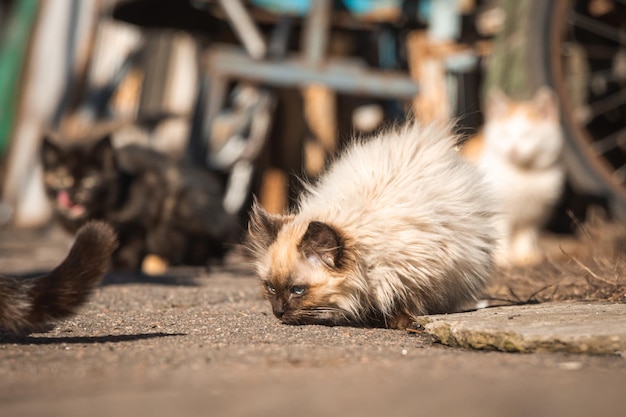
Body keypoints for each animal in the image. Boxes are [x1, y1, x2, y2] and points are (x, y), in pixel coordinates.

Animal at [246, 121, 494, 328]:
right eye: (270, 287)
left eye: (297, 290)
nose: (278, 312)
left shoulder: (418, 272)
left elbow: (404, 301)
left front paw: (404, 322)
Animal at [460, 87, 564, 266]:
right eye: (505, 134)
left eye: (527, 135)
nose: (513, 150)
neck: (523, 173)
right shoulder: (499, 212)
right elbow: (502, 233)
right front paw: (502, 259)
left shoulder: (536, 213)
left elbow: (527, 235)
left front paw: (525, 257)